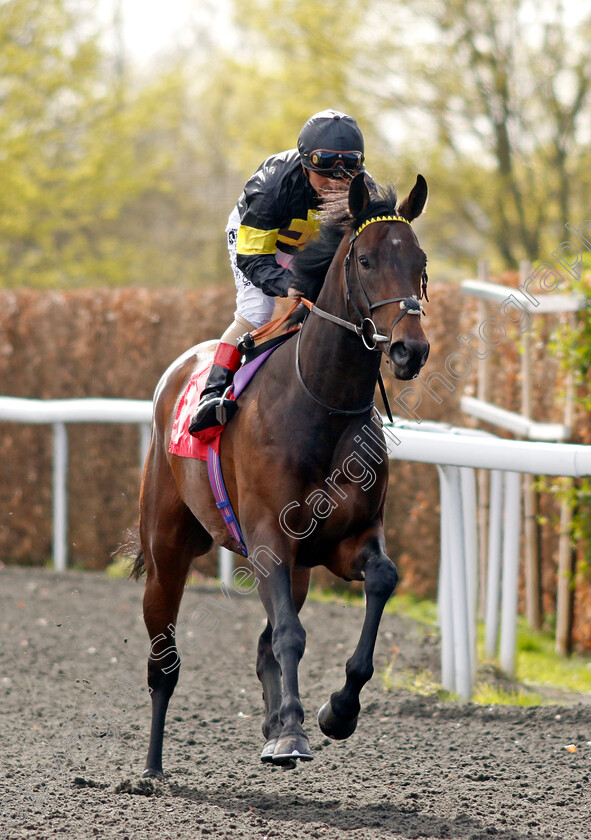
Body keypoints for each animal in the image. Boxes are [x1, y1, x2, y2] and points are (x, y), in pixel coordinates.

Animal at [134, 174, 430, 776]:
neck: (321, 404)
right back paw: (150, 770)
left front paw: (336, 711)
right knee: (164, 658)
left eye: (421, 263)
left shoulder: (345, 540)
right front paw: (294, 730)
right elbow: (291, 635)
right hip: (167, 549)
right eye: (366, 260)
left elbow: (380, 580)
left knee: (262, 643)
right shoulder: (269, 538)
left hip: (297, 569)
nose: (410, 349)